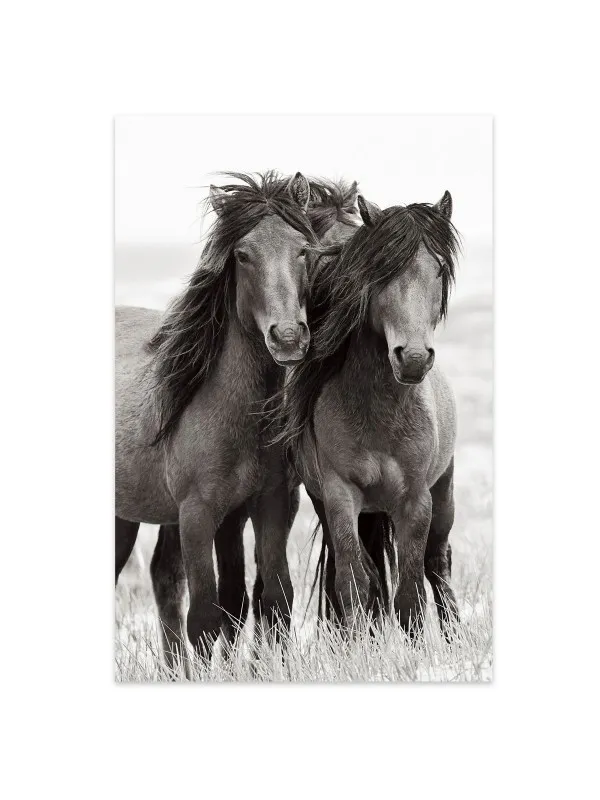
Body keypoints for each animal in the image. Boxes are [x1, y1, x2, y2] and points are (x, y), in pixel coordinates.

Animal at [115, 171, 316, 662]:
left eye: (303, 248)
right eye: (242, 255)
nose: (287, 337)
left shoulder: (267, 506)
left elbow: (270, 601)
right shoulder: (198, 515)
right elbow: (207, 617)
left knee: (165, 580)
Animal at [280, 191, 461, 638]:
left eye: (439, 268)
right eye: (381, 272)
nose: (413, 358)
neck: (380, 415)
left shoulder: (416, 500)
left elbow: (411, 592)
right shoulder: (339, 496)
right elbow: (354, 580)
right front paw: (360, 643)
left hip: (444, 492)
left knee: (438, 564)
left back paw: (454, 636)